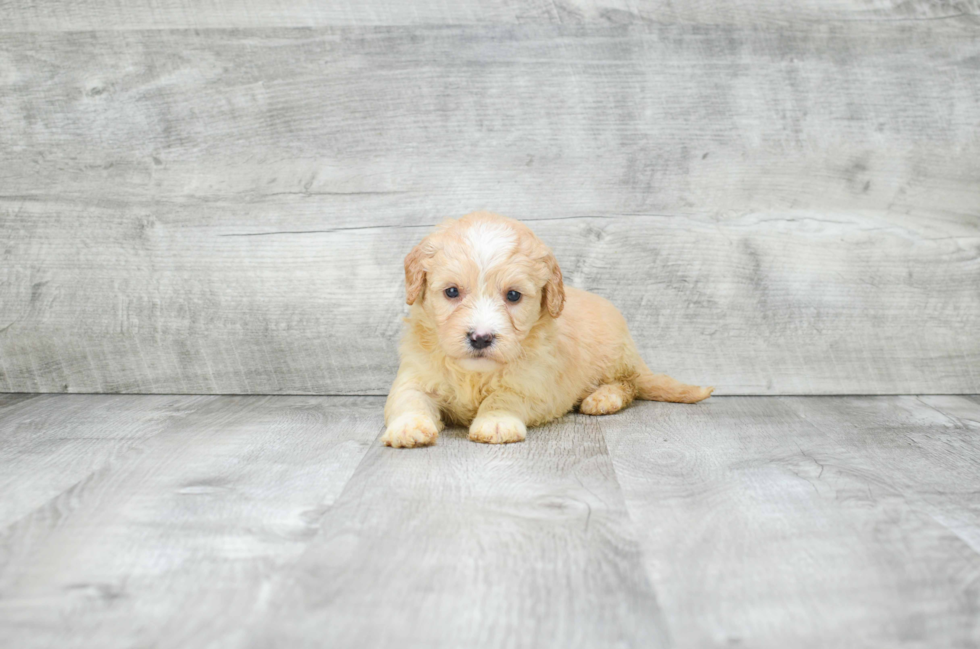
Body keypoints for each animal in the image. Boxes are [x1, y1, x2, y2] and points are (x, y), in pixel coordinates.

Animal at [382, 213, 712, 446]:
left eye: (513, 296)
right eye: (452, 292)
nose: (481, 338)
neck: (474, 373)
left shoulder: (534, 384)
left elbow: (504, 396)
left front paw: (496, 421)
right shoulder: (416, 374)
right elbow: (408, 398)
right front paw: (408, 427)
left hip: (614, 360)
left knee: (629, 385)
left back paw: (603, 399)